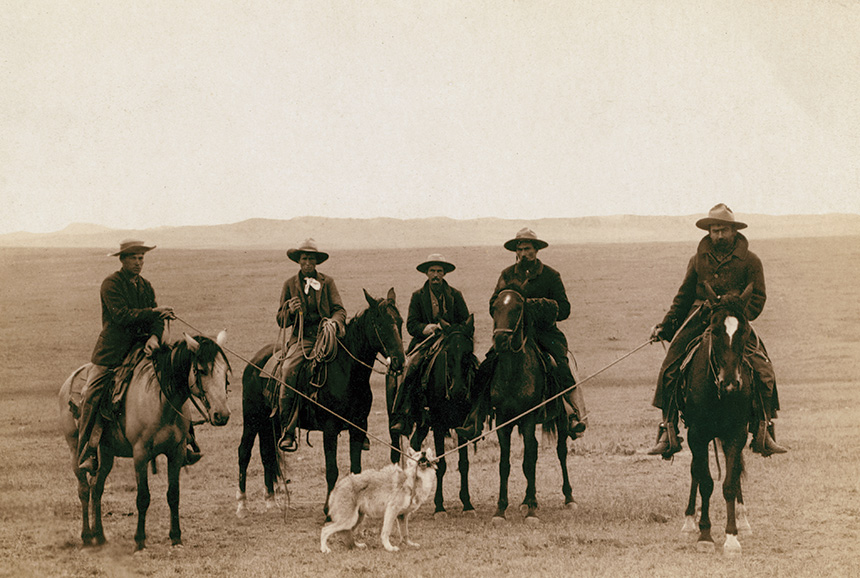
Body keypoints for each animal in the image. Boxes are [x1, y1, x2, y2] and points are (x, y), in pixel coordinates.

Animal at [59, 330, 232, 548]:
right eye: (201, 370)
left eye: (225, 373)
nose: (222, 415)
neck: (162, 402)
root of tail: (69, 381)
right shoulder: (140, 454)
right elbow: (143, 497)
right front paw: (140, 540)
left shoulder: (176, 452)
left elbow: (173, 495)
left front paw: (176, 537)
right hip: (75, 449)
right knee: (83, 489)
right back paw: (87, 537)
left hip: (106, 452)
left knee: (96, 487)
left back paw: (100, 535)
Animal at [237, 288, 404, 516]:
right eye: (379, 324)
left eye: (400, 322)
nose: (400, 361)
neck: (347, 373)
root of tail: (254, 362)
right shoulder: (330, 428)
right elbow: (332, 470)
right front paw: (328, 508)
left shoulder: (358, 426)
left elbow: (356, 469)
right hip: (251, 418)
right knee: (244, 452)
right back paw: (242, 505)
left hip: (269, 423)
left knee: (267, 453)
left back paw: (270, 500)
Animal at [394, 312, 478, 516]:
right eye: (448, 353)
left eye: (468, 353)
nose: (458, 390)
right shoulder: (439, 425)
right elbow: (441, 465)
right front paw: (439, 506)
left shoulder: (461, 425)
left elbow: (464, 464)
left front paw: (467, 504)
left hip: (423, 424)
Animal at [488, 288, 576, 520]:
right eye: (495, 307)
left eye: (517, 308)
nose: (500, 339)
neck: (513, 372)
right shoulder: (503, 421)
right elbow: (505, 463)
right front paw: (501, 509)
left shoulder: (527, 418)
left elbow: (529, 460)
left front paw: (532, 510)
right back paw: (525, 500)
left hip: (561, 420)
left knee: (560, 452)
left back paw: (568, 498)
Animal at [680, 282, 756, 552]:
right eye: (714, 331)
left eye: (745, 332)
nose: (730, 383)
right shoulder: (697, 435)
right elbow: (705, 481)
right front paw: (704, 534)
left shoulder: (736, 433)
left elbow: (729, 484)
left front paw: (732, 537)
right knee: (695, 470)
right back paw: (689, 520)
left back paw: (743, 519)